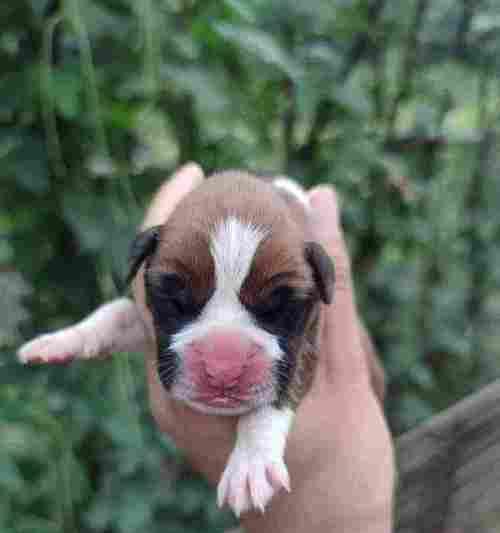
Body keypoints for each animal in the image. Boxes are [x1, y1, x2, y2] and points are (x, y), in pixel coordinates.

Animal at [18, 168, 340, 512]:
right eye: (174, 301)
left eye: (280, 310)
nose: (222, 368)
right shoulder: (143, 317)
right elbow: (116, 311)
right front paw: (62, 338)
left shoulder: (309, 341)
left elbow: (276, 395)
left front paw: (251, 462)